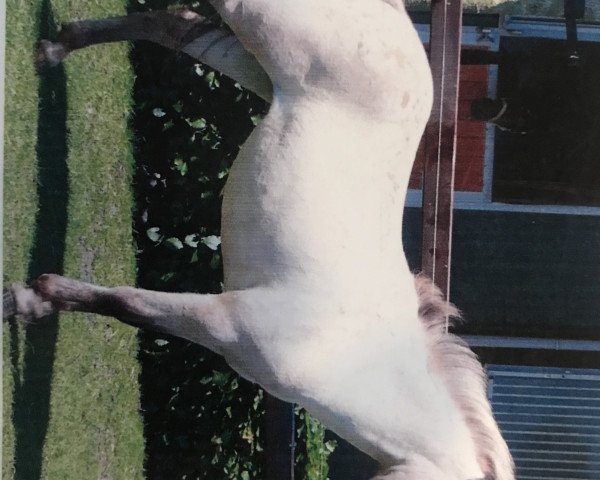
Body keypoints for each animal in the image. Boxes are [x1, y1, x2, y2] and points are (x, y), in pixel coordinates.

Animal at [7, 1, 512, 478]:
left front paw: (35, 300)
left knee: (173, 28)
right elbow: (124, 304)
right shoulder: (219, 321)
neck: (354, 361)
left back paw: (53, 50)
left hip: (256, 68)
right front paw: (28, 298)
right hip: (257, 24)